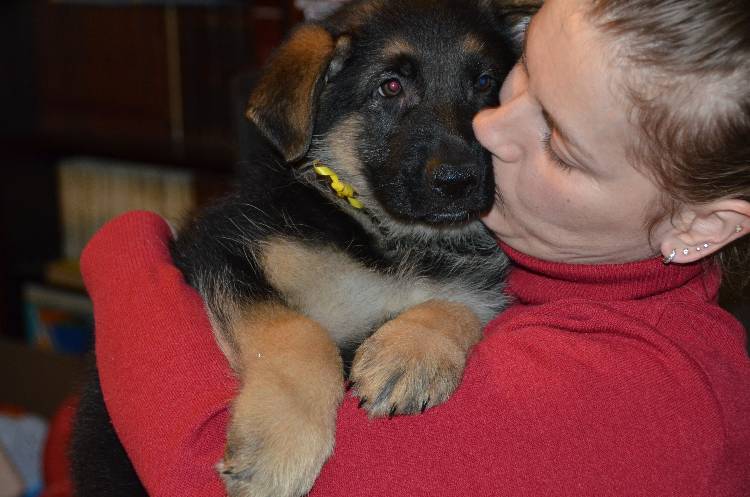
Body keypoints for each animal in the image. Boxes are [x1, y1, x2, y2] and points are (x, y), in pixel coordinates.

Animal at [72, 0, 540, 496]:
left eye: (485, 83)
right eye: (390, 86)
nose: (458, 182)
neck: (388, 235)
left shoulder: (478, 289)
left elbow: (461, 304)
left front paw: (410, 354)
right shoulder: (223, 250)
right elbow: (301, 333)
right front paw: (278, 449)